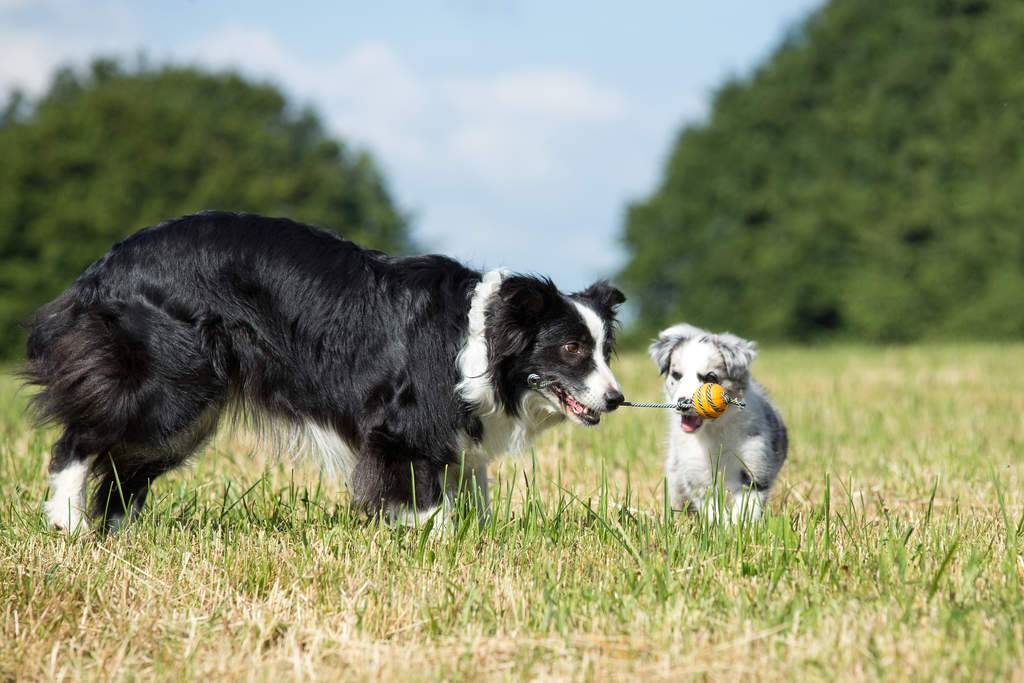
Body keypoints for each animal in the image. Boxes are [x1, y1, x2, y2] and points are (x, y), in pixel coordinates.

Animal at [24, 210, 626, 532]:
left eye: (604, 350)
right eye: (572, 348)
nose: (617, 399)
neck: (478, 338)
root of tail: (104, 268)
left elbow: (469, 492)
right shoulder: (405, 425)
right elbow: (425, 496)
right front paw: (432, 543)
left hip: (189, 411)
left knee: (126, 469)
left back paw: (121, 534)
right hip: (169, 383)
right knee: (81, 440)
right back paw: (67, 520)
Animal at [651, 325, 786, 524]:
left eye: (710, 378)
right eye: (676, 375)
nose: (682, 404)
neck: (714, 429)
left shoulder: (755, 470)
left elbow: (745, 509)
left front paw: (738, 528)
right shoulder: (698, 477)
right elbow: (712, 512)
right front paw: (720, 528)